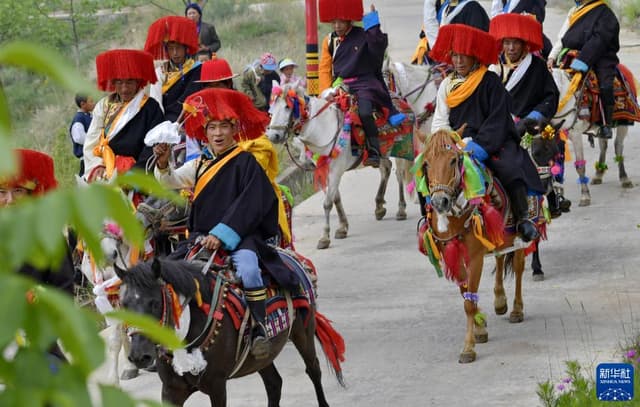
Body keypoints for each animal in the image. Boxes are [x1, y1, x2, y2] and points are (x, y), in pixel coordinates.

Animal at [115, 256, 344, 406]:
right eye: (123, 304)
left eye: (154, 303)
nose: (139, 356)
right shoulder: (171, 391)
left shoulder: (217, 387)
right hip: (259, 357)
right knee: (274, 384)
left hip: (303, 332)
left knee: (313, 369)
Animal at [268, 83, 412, 250]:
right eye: (271, 108)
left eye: (287, 107)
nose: (273, 136)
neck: (324, 129)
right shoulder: (325, 170)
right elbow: (336, 198)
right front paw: (343, 227)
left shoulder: (335, 171)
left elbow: (327, 203)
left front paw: (324, 237)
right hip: (382, 152)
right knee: (386, 168)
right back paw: (379, 207)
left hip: (399, 147)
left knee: (399, 174)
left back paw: (401, 210)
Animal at [420, 130, 540, 364]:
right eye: (426, 163)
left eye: (453, 160)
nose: (439, 202)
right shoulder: (454, 254)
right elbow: (466, 293)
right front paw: (480, 328)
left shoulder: (474, 257)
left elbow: (469, 301)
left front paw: (468, 348)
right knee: (500, 258)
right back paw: (500, 301)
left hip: (520, 237)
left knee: (518, 268)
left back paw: (516, 310)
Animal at [552, 68, 636, 207]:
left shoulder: (575, 135)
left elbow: (580, 167)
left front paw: (585, 196)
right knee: (603, 145)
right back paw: (598, 174)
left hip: (624, 123)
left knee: (618, 146)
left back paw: (625, 179)